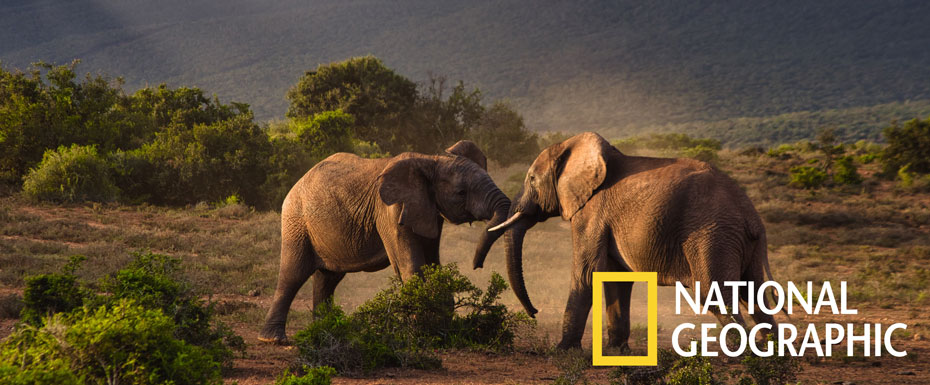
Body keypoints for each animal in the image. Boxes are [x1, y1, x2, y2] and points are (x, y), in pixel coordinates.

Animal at [258, 140, 512, 342]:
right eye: (461, 192)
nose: (476, 265)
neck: (432, 159)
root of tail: (299, 181)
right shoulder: (390, 211)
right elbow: (410, 266)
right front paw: (421, 334)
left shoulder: (427, 209)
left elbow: (432, 264)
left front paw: (440, 331)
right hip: (296, 220)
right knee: (294, 273)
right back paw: (273, 339)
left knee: (328, 278)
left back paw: (324, 333)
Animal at [486, 133, 776, 352]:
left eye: (532, 179)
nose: (534, 312)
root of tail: (752, 215)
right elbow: (616, 279)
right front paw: (617, 351)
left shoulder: (591, 212)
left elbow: (586, 273)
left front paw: (562, 352)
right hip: (737, 240)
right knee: (753, 293)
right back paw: (770, 353)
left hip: (712, 235)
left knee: (715, 294)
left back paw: (738, 356)